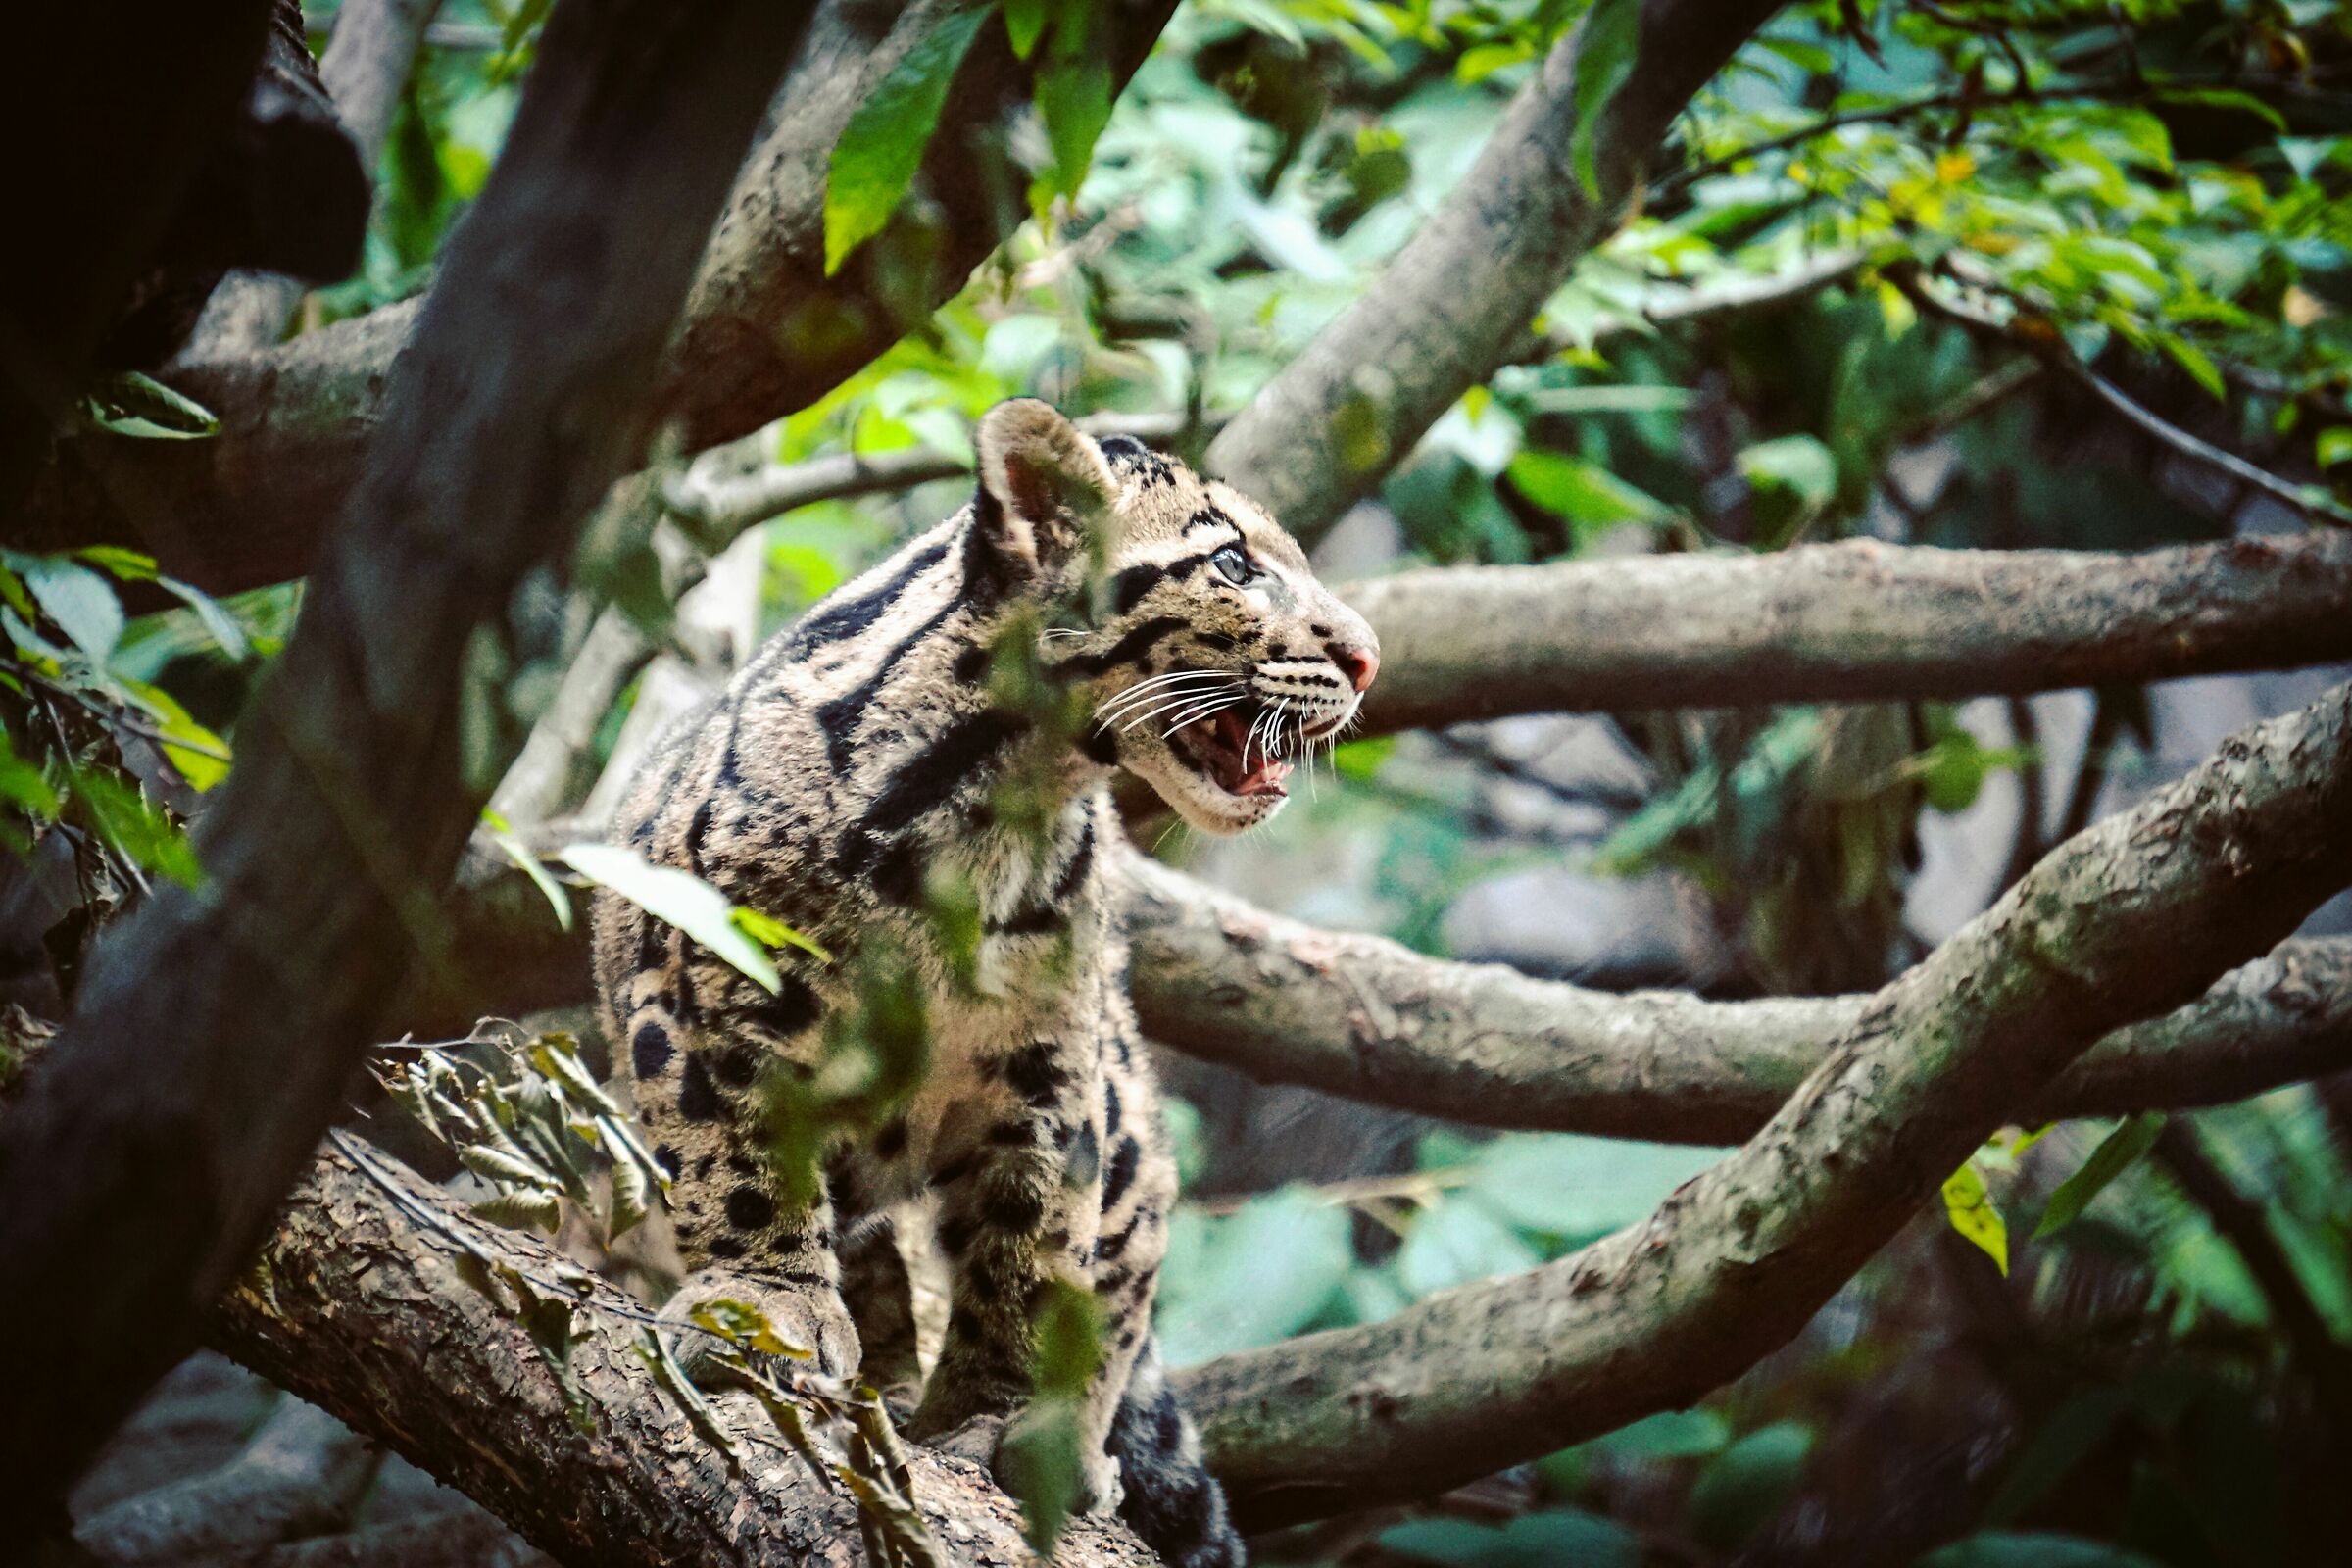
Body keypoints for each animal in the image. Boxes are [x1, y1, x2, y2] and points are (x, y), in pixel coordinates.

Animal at [590, 398, 1379, 1568]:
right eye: (1233, 562)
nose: (1368, 659)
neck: (1006, 796)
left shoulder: (1049, 1065)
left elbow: (1032, 1246)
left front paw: (998, 1413)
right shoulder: (698, 984)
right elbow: (740, 1161)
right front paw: (767, 1303)